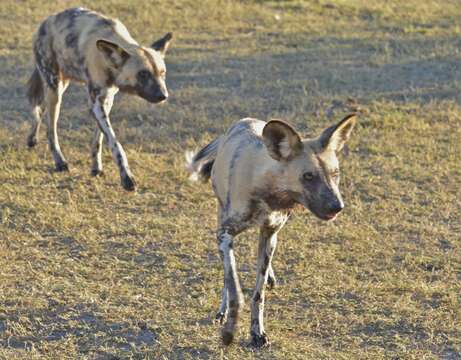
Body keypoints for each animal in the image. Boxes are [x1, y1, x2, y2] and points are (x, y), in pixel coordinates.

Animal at [26, 7, 172, 190]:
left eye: (162, 73)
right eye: (143, 74)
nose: (163, 96)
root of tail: (46, 21)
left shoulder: (106, 101)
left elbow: (99, 140)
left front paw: (96, 168)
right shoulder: (96, 104)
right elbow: (115, 144)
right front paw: (126, 177)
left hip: (58, 87)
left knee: (40, 108)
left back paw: (32, 139)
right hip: (55, 89)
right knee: (51, 128)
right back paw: (60, 161)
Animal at [185, 114, 358, 348]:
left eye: (335, 173)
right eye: (308, 176)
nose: (337, 206)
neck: (269, 193)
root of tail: (243, 121)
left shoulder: (269, 234)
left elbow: (259, 294)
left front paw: (257, 332)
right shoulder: (224, 235)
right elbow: (233, 286)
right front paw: (230, 328)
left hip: (269, 239)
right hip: (221, 218)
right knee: (227, 275)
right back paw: (222, 311)